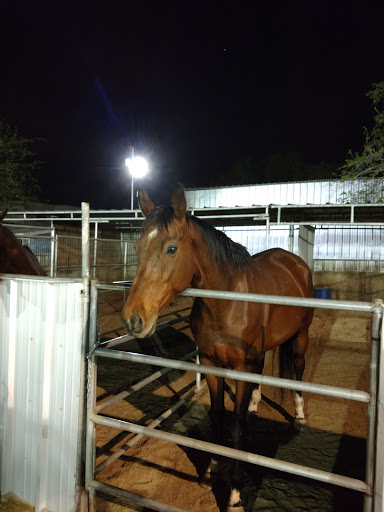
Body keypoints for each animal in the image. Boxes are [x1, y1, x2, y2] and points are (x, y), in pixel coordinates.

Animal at [121, 184, 314, 512]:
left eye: (171, 248)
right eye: (137, 248)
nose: (134, 319)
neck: (226, 303)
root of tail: (295, 262)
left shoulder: (241, 367)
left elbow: (236, 426)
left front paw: (235, 495)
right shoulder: (211, 364)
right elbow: (217, 416)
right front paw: (210, 470)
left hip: (300, 336)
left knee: (298, 369)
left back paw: (299, 416)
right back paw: (255, 406)